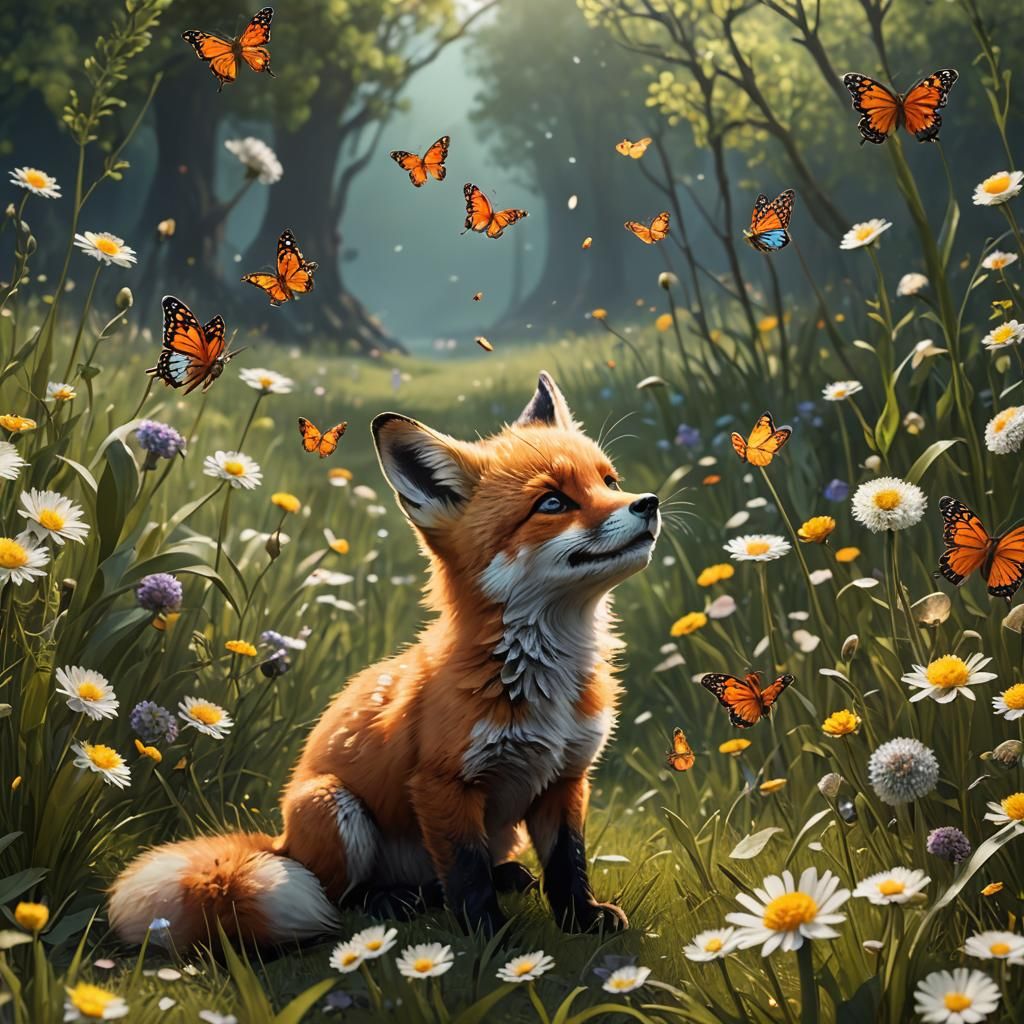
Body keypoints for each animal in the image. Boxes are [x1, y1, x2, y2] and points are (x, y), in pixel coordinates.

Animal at [108, 371, 661, 947]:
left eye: (610, 481)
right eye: (552, 503)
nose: (648, 502)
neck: (541, 681)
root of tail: (281, 843)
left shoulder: (565, 778)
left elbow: (567, 862)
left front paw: (582, 918)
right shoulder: (443, 784)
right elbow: (467, 875)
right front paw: (489, 938)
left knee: (449, 881)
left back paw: (496, 878)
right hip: (335, 807)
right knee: (343, 897)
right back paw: (392, 901)